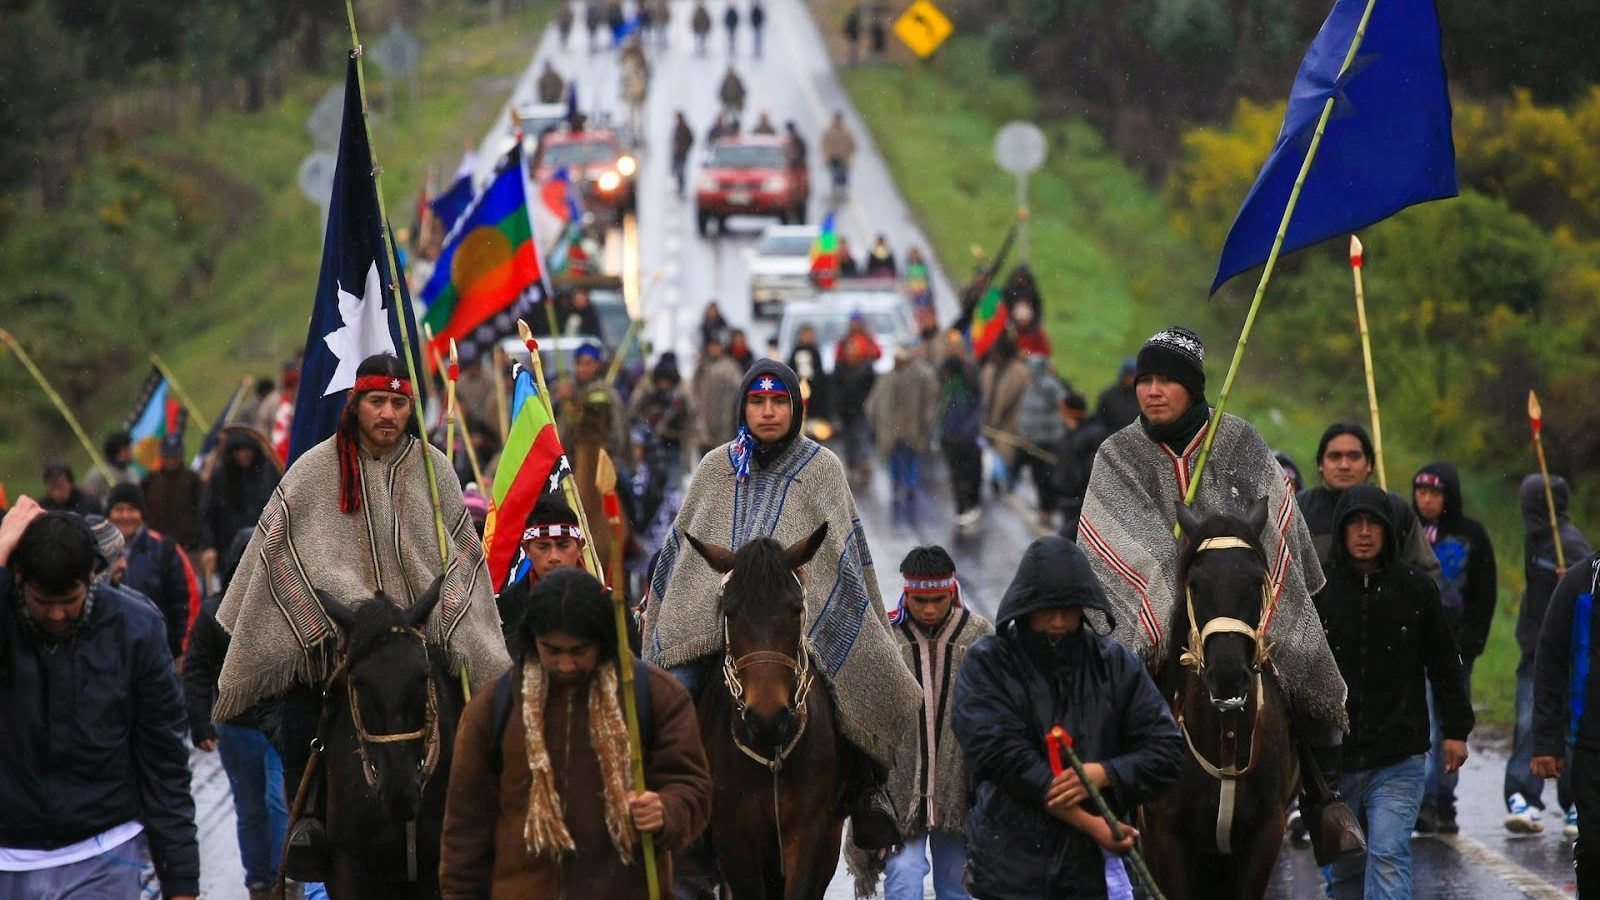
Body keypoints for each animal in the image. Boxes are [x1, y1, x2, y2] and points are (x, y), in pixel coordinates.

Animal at [678, 525, 844, 896]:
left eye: (796, 610)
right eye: (730, 612)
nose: (767, 718)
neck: (771, 754)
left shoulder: (809, 833)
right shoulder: (733, 840)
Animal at [1139, 496, 1299, 896]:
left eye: (1256, 582)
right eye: (1195, 584)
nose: (1227, 676)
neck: (1224, 737)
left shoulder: (1264, 837)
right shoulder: (1166, 839)